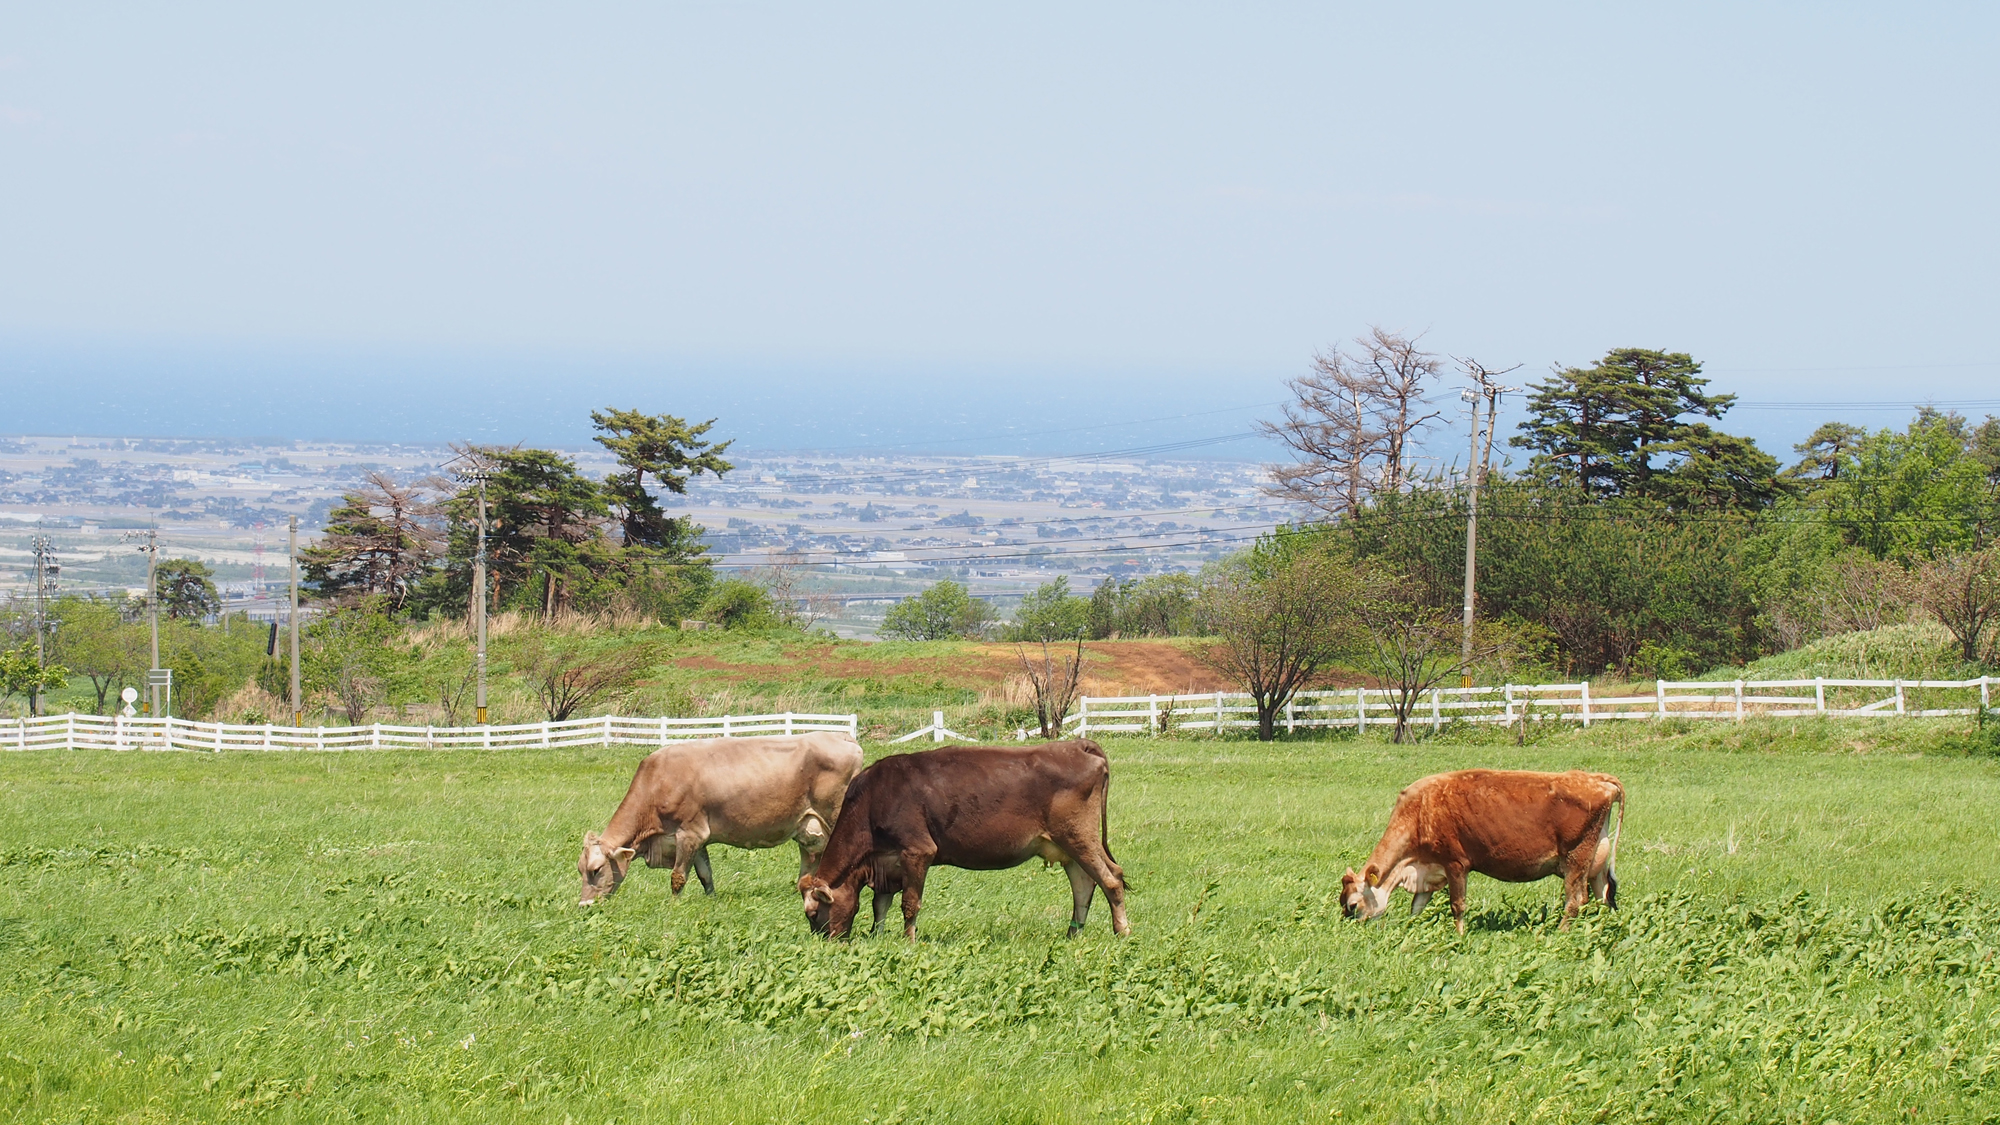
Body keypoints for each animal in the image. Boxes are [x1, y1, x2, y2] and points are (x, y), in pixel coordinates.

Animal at [576, 728, 864, 900]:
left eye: (596, 869)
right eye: (580, 869)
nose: (585, 906)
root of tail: (841, 737)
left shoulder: (689, 833)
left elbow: (678, 876)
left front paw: (674, 904)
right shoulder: (699, 838)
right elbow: (705, 874)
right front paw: (711, 900)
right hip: (809, 826)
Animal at [800, 736, 1144, 936]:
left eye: (814, 913)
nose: (825, 943)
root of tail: (1076, 745)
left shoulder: (917, 850)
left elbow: (910, 903)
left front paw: (908, 942)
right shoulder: (886, 863)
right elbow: (879, 904)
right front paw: (878, 937)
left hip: (1078, 836)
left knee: (1111, 879)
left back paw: (1122, 932)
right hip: (1066, 845)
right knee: (1084, 884)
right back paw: (1073, 934)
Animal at [1336, 760, 1616, 928]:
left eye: (1353, 905)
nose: (1349, 928)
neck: (1420, 811)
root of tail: (1597, 779)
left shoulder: (1455, 863)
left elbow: (1457, 905)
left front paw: (1459, 936)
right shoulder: (1426, 868)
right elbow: (1417, 906)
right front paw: (1410, 930)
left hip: (1576, 859)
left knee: (1575, 900)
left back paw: (1561, 931)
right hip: (1596, 863)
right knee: (1604, 895)